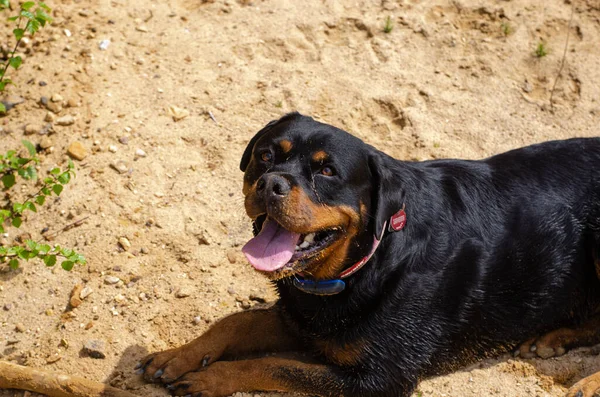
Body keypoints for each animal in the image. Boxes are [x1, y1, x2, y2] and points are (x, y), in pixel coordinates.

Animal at [138, 112, 600, 396]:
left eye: (327, 171)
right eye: (265, 156)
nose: (270, 183)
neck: (367, 263)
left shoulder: (380, 378)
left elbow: (273, 366)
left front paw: (210, 377)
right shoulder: (306, 320)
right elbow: (237, 322)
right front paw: (178, 356)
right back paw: (555, 337)